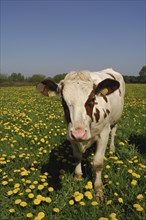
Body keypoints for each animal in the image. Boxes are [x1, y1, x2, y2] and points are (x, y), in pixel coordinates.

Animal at [36, 69, 125, 201]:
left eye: (92, 99)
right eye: (63, 102)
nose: (79, 133)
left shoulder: (103, 133)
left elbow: (98, 163)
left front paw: (98, 189)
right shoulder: (71, 135)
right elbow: (77, 157)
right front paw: (78, 177)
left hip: (115, 120)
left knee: (113, 133)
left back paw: (112, 149)